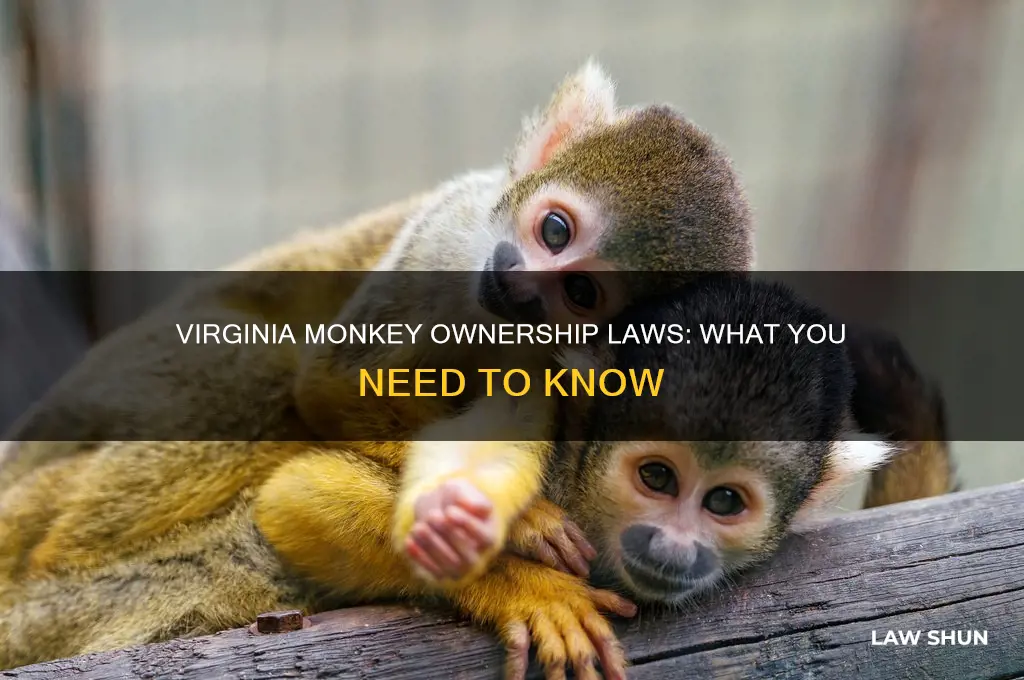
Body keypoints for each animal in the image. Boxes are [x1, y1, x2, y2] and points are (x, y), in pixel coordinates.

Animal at [289, 59, 754, 588]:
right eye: (555, 230)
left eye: (581, 293)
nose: (518, 286)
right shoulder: (443, 239)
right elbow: (331, 384)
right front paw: (522, 521)